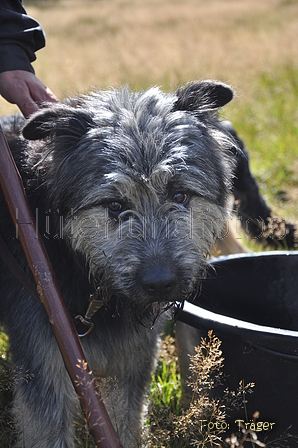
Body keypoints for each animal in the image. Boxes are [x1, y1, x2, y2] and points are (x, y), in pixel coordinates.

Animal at [0, 81, 237, 448]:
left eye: (180, 195)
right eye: (114, 204)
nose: (160, 283)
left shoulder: (132, 361)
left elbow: (125, 424)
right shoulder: (46, 365)